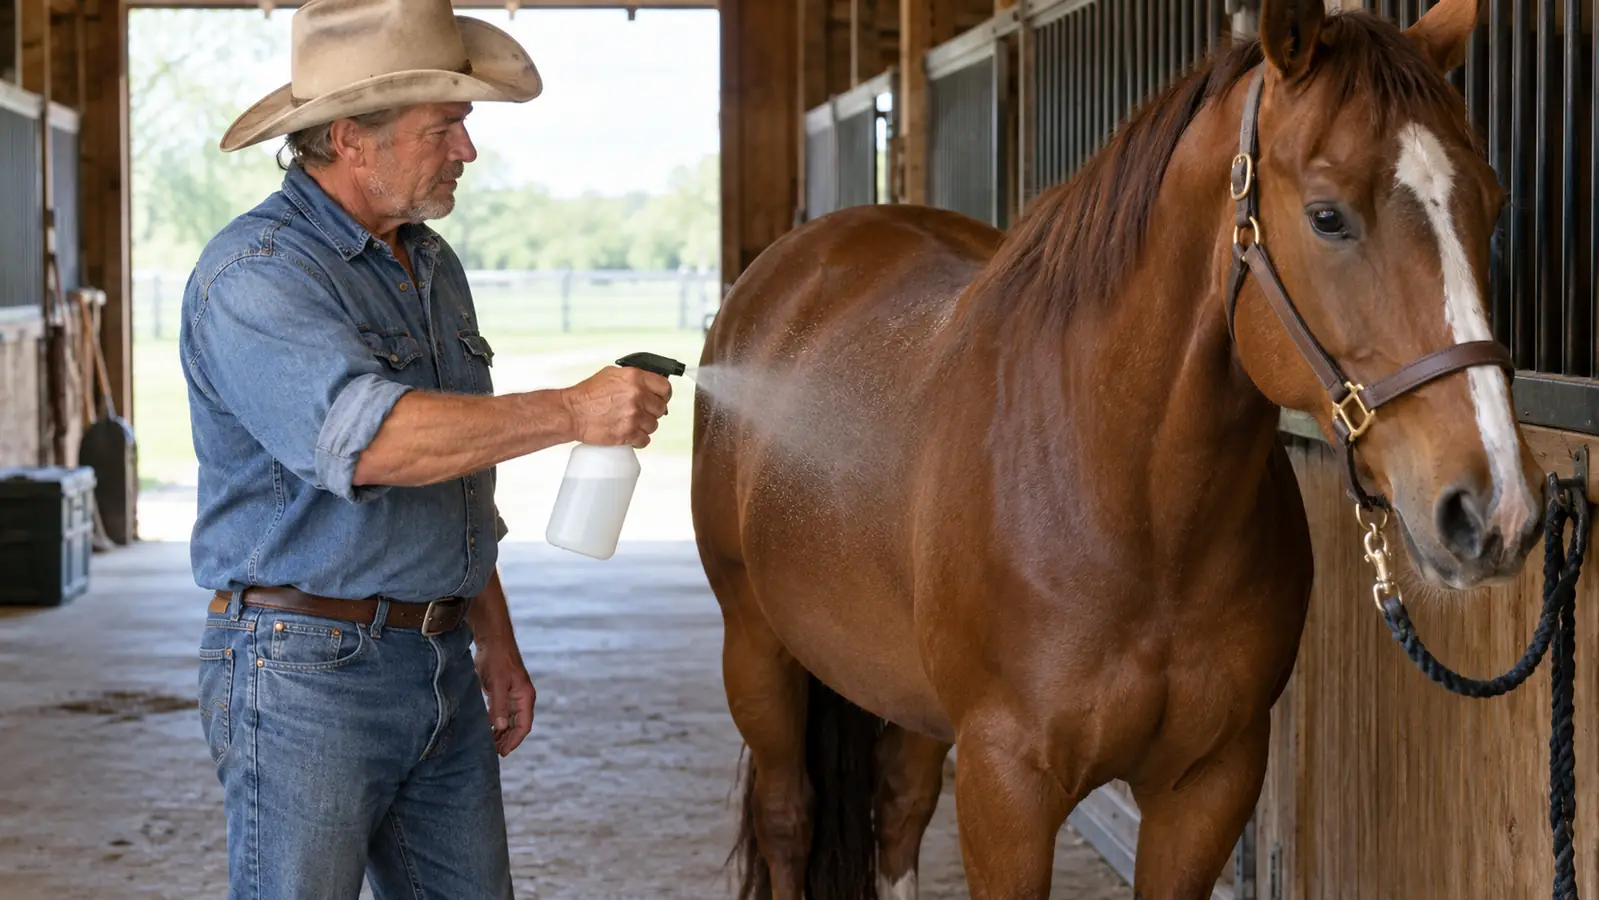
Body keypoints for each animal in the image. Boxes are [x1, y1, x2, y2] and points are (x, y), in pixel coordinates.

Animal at [689, 0, 1545, 896]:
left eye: (1492, 204)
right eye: (1326, 215)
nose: (1496, 509)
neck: (1132, 510)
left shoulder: (1208, 786)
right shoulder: (1005, 792)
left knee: (899, 809)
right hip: (757, 651)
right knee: (788, 818)